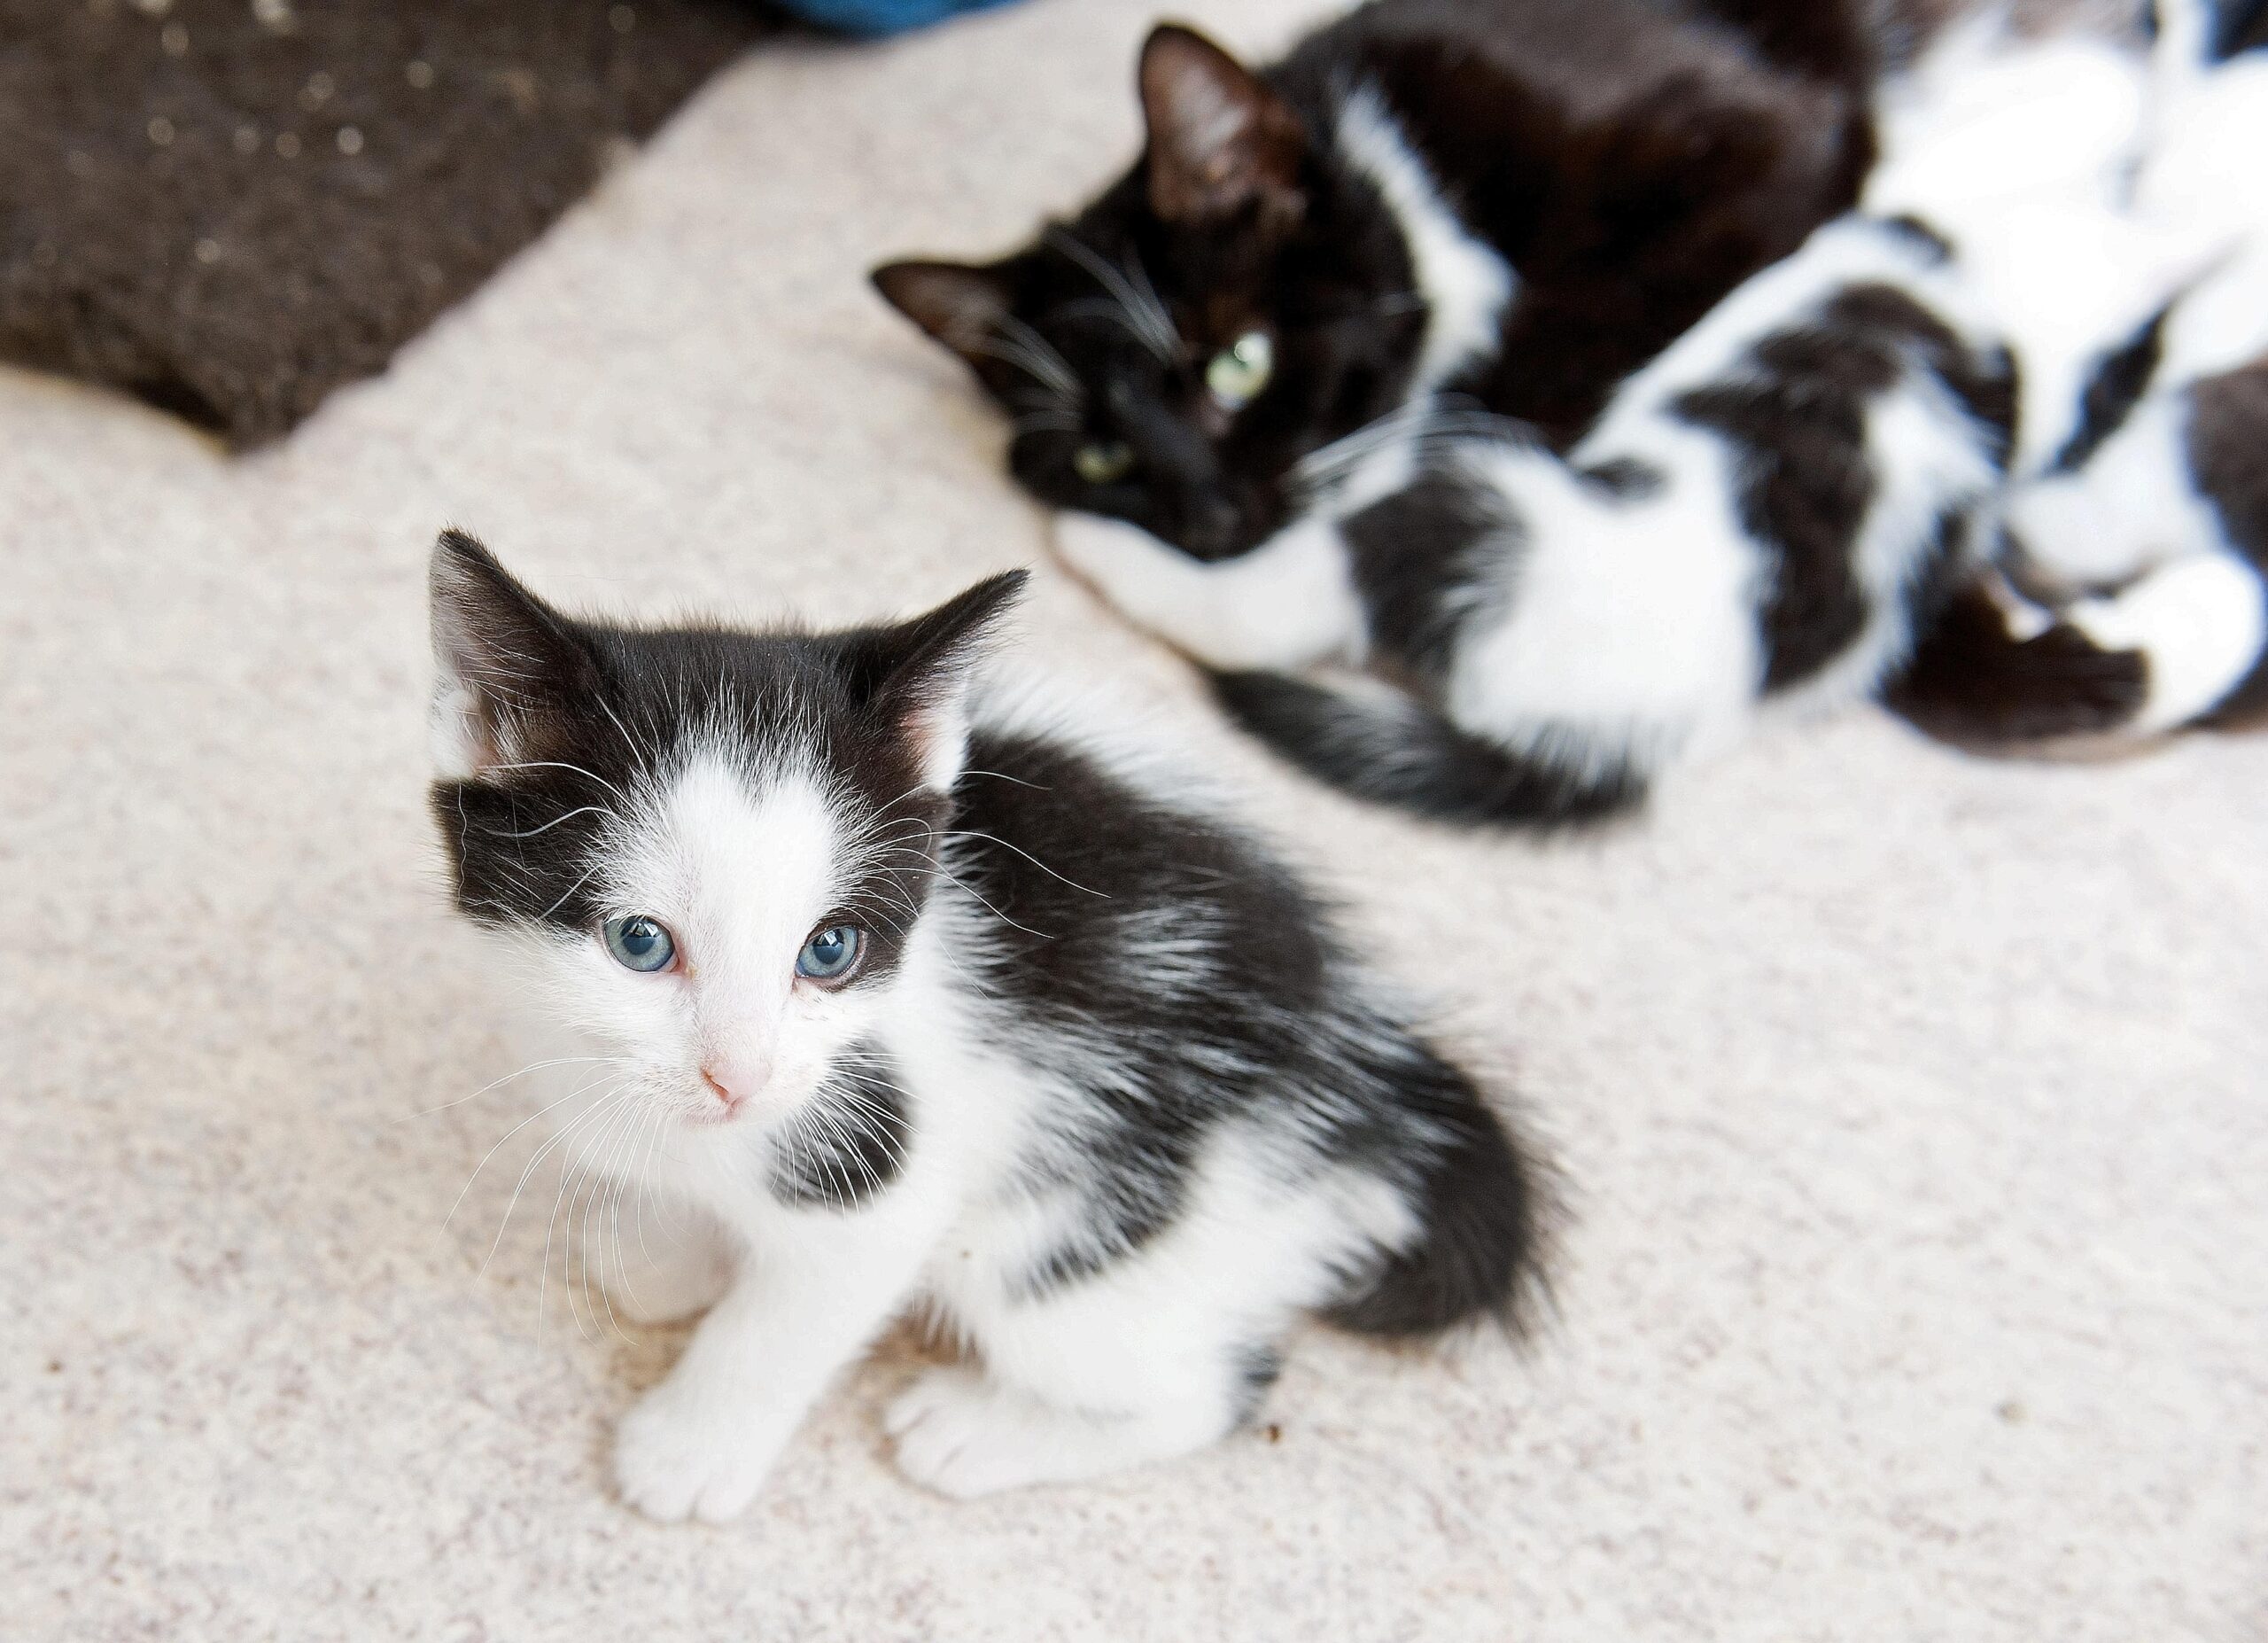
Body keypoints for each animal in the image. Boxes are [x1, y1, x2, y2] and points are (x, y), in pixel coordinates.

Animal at [426, 535, 1551, 1515]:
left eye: (829, 950)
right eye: (639, 943)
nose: (737, 1077)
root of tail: (1376, 1072)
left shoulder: (886, 1167)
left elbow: (786, 1320)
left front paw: (691, 1449)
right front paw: (669, 1255)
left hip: (1076, 1239)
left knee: (1207, 1387)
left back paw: (978, 1433)